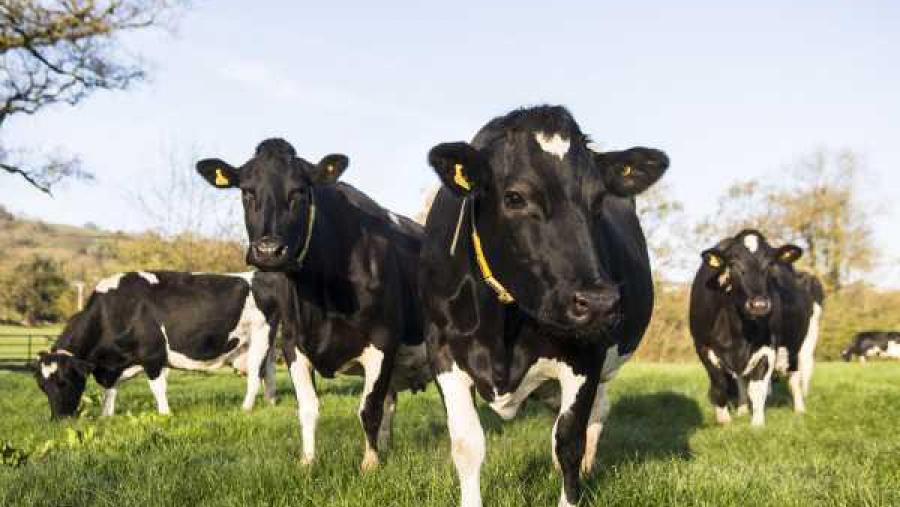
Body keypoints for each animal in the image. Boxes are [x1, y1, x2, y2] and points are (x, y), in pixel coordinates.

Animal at [35, 271, 287, 419]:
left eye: (64, 381)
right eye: (42, 387)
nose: (58, 419)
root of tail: (260, 275)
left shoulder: (153, 356)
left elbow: (157, 388)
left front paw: (165, 415)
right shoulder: (113, 365)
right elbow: (110, 391)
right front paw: (106, 416)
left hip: (261, 336)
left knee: (255, 376)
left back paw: (246, 408)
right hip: (261, 345)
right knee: (269, 372)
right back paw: (270, 403)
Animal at [196, 138, 430, 471]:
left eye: (299, 192)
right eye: (246, 191)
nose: (269, 250)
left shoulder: (383, 340)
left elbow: (368, 409)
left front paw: (369, 465)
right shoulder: (293, 343)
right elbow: (308, 408)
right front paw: (307, 462)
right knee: (391, 402)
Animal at [419, 105, 669, 507]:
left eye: (598, 200)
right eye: (515, 198)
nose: (599, 301)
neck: (503, 328)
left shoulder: (586, 356)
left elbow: (569, 443)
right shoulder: (442, 351)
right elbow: (467, 445)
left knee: (596, 415)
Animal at [690, 229, 822, 428]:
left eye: (770, 264)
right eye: (733, 264)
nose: (759, 304)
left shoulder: (768, 347)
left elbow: (758, 387)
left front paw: (757, 425)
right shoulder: (702, 346)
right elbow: (719, 385)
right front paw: (724, 420)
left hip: (803, 342)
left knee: (796, 375)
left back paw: (799, 409)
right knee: (740, 380)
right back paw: (743, 409)